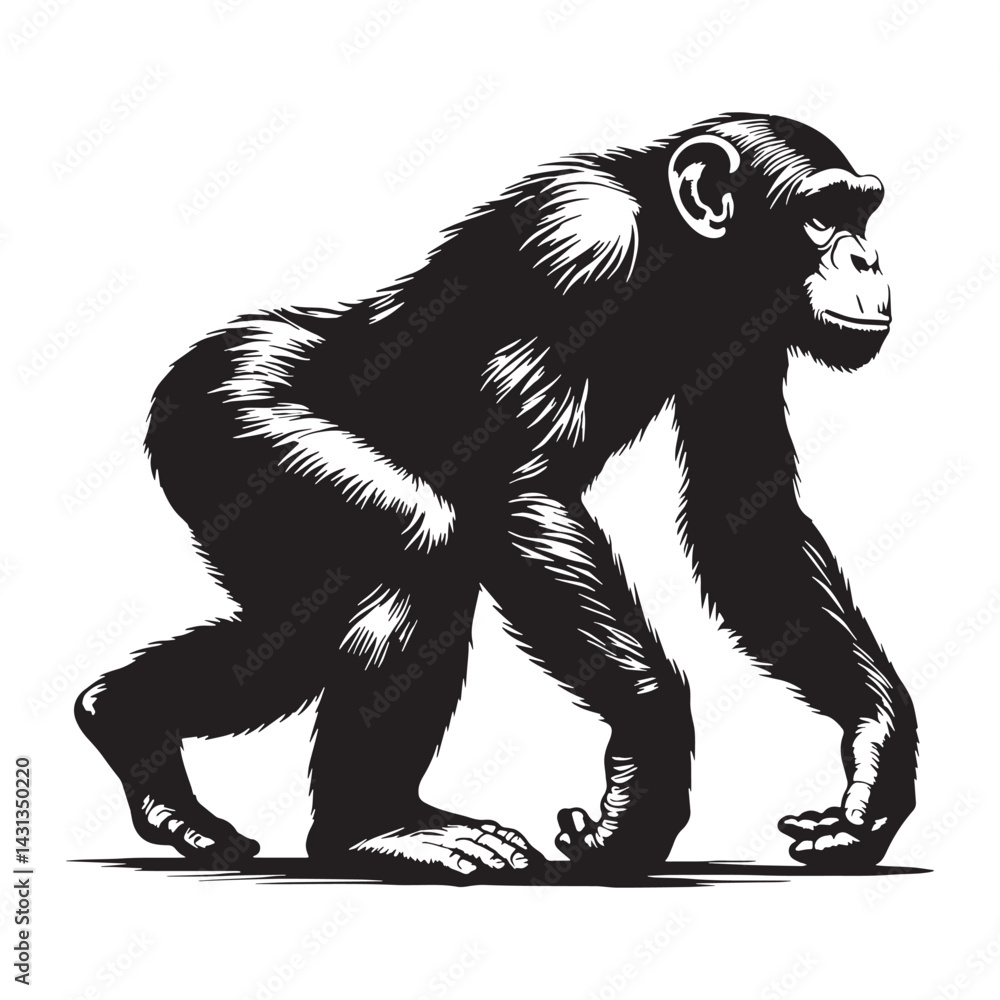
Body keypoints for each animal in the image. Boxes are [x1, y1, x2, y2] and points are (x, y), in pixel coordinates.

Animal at [76, 112, 916, 878]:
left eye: (862, 212)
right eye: (822, 213)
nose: (867, 255)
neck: (682, 252)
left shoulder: (753, 337)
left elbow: (742, 517)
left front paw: (874, 768)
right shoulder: (575, 244)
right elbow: (516, 480)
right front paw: (646, 768)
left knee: (299, 631)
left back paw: (130, 729)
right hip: (234, 418)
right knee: (420, 549)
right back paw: (375, 827)